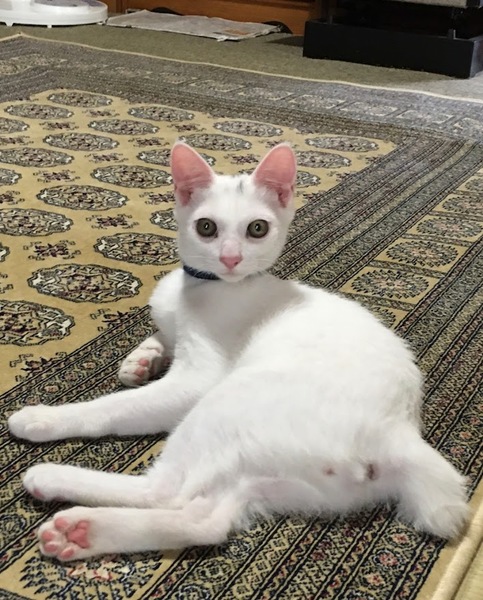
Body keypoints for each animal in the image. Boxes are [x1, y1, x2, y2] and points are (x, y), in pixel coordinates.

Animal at [8, 142, 468, 562]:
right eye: (207, 228)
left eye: (257, 229)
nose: (230, 258)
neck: (201, 286)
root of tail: (399, 434)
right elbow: (159, 337)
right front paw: (139, 360)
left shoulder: (197, 380)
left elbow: (113, 408)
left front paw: (46, 417)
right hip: (281, 479)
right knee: (205, 522)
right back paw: (84, 532)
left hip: (223, 408)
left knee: (165, 491)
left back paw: (54, 481)